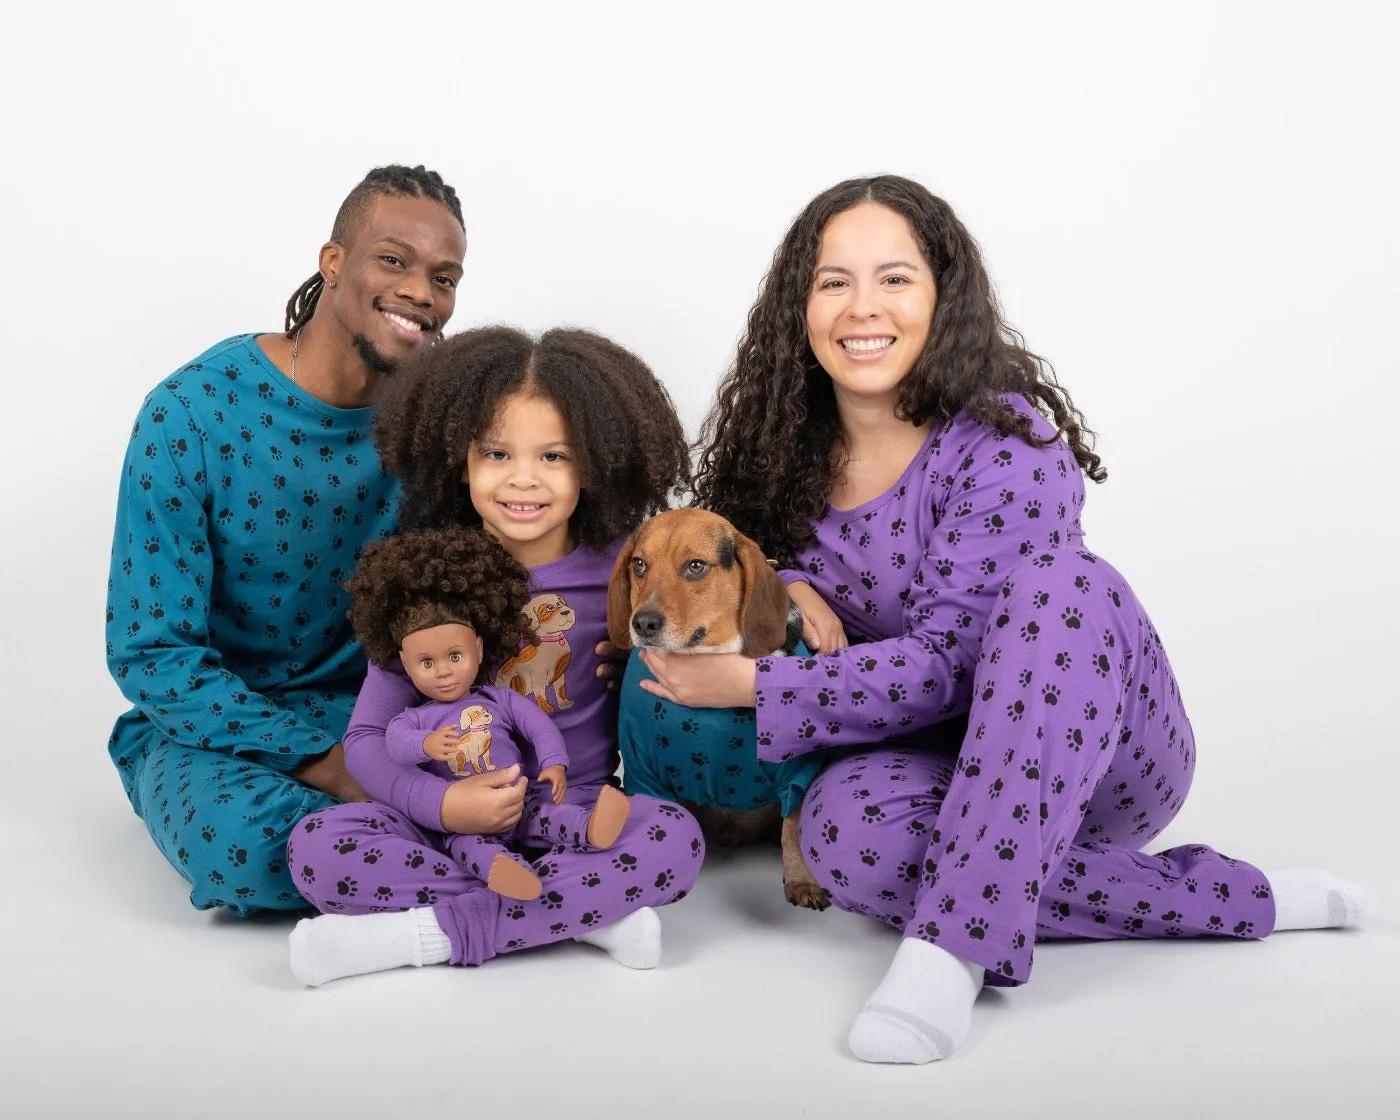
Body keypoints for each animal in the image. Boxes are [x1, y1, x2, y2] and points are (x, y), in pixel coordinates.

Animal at [604, 506, 823, 907]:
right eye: (639, 564)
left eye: (695, 566)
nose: (643, 623)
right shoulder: (642, 767)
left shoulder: (798, 766)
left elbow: (795, 823)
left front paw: (802, 878)